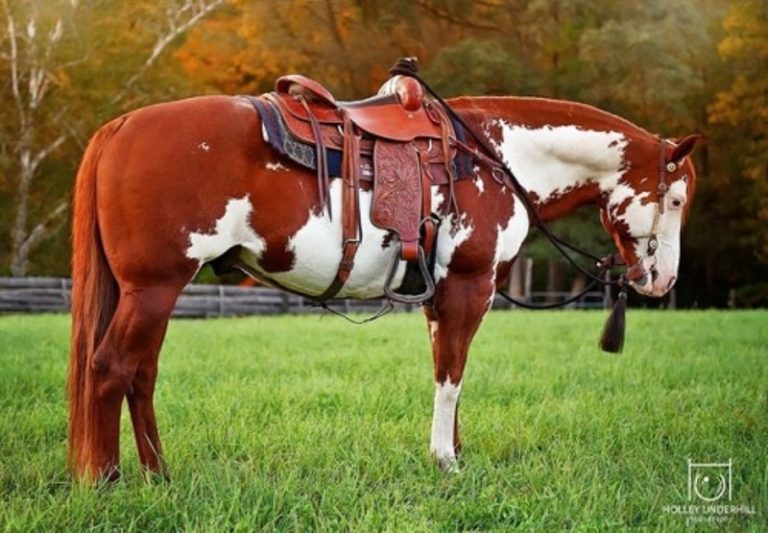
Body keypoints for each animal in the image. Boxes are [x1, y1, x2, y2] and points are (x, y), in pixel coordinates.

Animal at [68, 84, 699, 480]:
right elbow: (452, 376)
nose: (662, 279)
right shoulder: (469, 287)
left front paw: (453, 450)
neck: (498, 157)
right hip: (154, 288)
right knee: (112, 368)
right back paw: (105, 478)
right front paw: (446, 461)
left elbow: (447, 371)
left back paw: (158, 473)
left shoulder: (438, 298)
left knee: (141, 374)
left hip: (152, 292)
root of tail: (122, 126)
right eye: (675, 199)